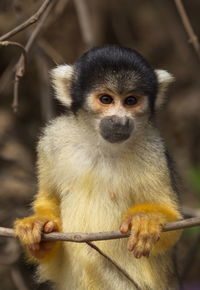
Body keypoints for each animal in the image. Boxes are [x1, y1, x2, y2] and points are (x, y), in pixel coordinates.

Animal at [14, 46, 182, 290]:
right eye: (106, 99)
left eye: (131, 101)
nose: (120, 121)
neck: (99, 144)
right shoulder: (52, 140)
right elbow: (49, 199)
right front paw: (38, 226)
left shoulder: (153, 149)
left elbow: (172, 221)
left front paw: (147, 220)